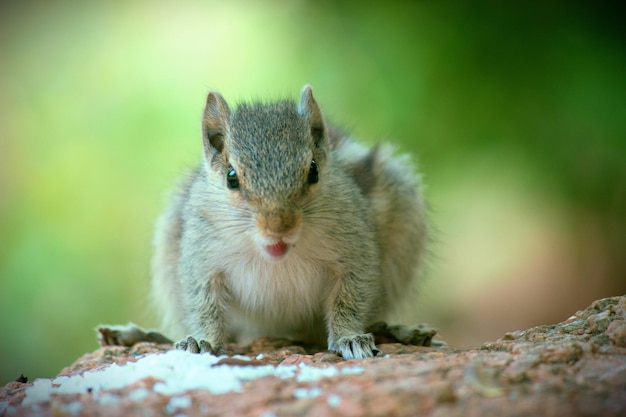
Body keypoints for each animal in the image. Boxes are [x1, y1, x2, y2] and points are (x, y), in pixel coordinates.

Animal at [98, 84, 428, 358]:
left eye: (313, 170)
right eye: (231, 177)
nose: (279, 228)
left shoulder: (355, 253)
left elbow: (350, 299)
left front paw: (350, 338)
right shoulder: (200, 261)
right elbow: (203, 303)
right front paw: (202, 340)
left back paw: (399, 331)